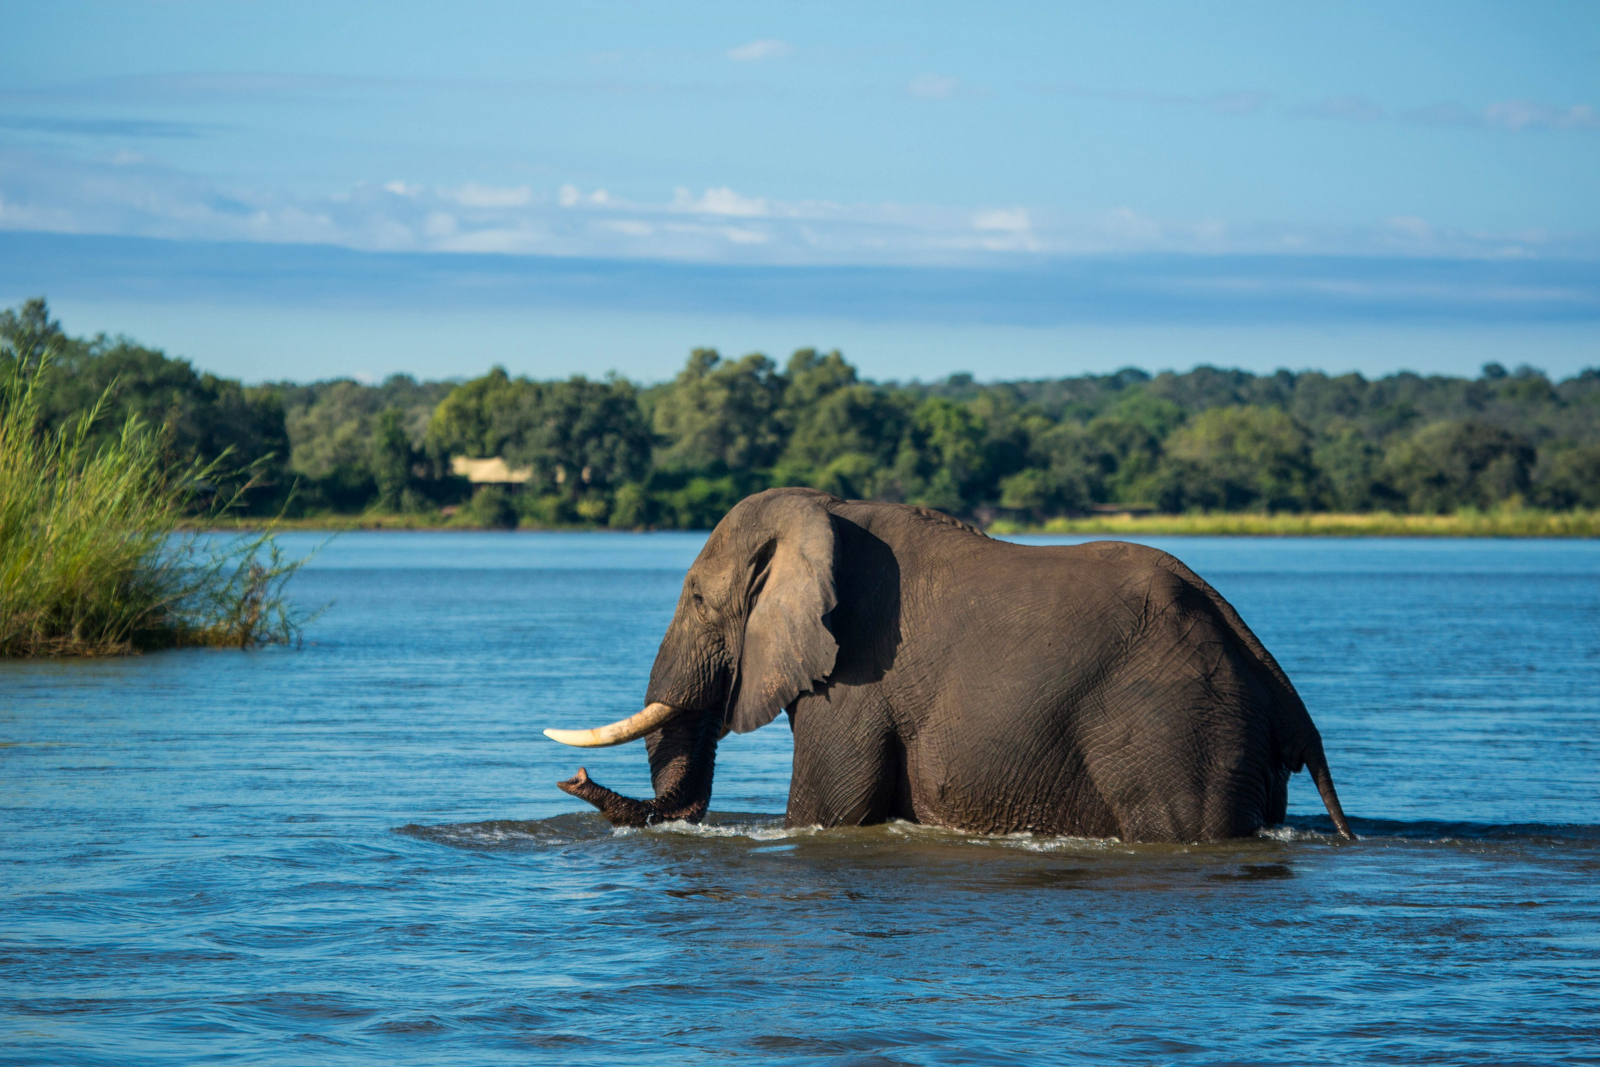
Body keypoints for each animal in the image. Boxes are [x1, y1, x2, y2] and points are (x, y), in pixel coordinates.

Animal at [547, 488, 1354, 843]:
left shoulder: (856, 677)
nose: (572, 776)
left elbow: (827, 811)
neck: (825, 509)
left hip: (1179, 730)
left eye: (697, 597)